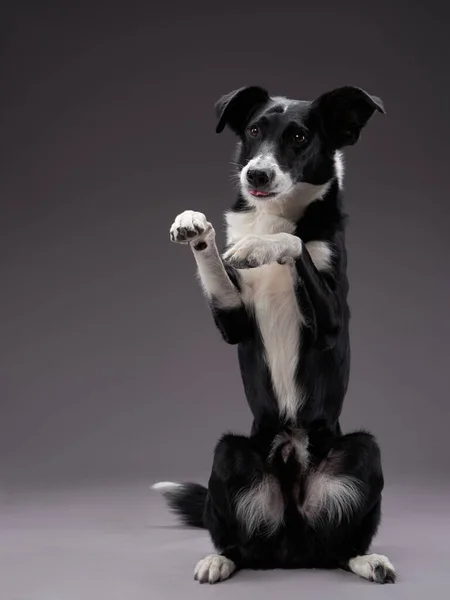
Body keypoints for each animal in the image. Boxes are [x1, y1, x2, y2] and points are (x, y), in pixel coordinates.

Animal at [153, 86, 396, 584]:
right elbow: (217, 265)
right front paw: (196, 226)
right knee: (240, 545)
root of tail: (294, 546)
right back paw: (219, 559)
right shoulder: (233, 319)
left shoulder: (331, 322)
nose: (256, 173)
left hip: (363, 450)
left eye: (299, 137)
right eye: (253, 130)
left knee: (341, 547)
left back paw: (368, 561)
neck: (273, 215)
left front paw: (260, 247)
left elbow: (296, 242)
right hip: (228, 454)